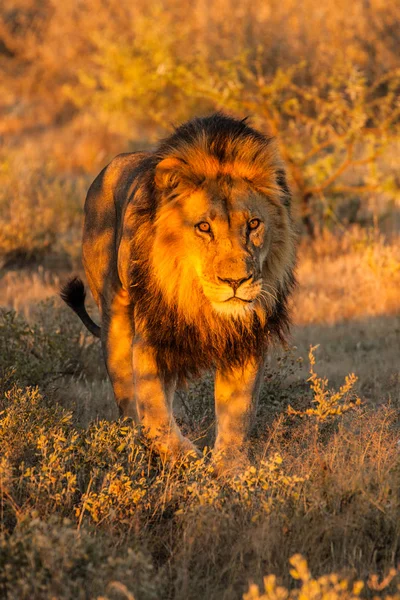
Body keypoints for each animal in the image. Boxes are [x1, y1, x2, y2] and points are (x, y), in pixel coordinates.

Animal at [60, 113, 296, 468]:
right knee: (128, 402)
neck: (199, 301)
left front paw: (230, 472)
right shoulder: (150, 340)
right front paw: (187, 458)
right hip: (115, 319)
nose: (236, 281)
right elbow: (155, 414)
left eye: (254, 225)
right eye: (204, 227)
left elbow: (237, 416)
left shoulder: (245, 343)